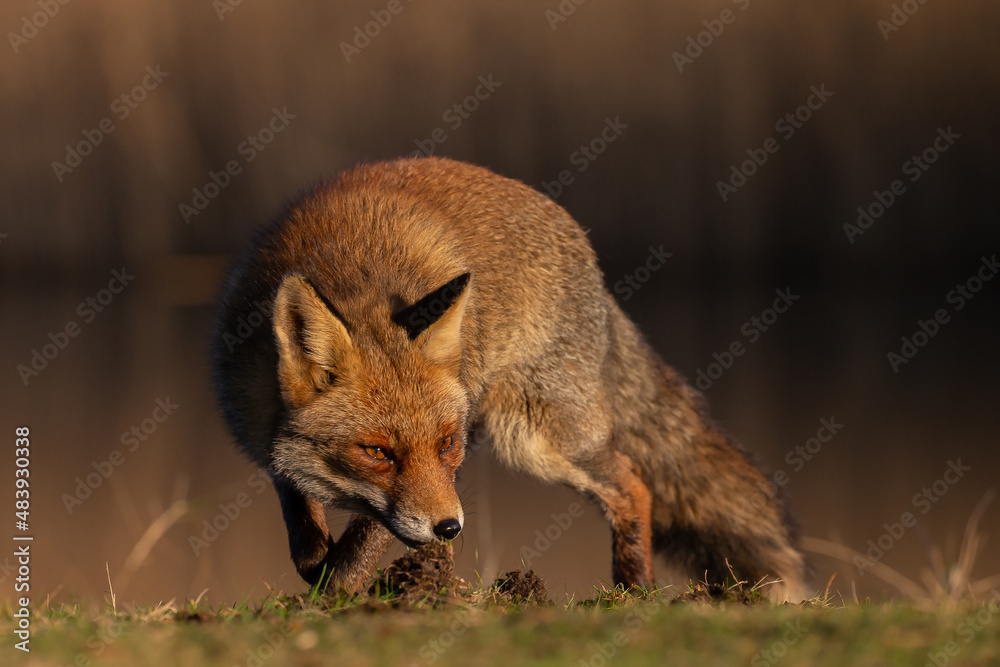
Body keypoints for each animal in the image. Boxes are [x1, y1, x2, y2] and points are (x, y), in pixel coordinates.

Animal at [211, 156, 810, 600]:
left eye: (445, 442)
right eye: (376, 452)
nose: (450, 527)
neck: (353, 272)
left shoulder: (437, 480)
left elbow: (358, 547)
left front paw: (336, 596)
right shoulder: (271, 442)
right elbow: (303, 527)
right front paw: (322, 564)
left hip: (538, 439)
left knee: (633, 483)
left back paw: (631, 593)